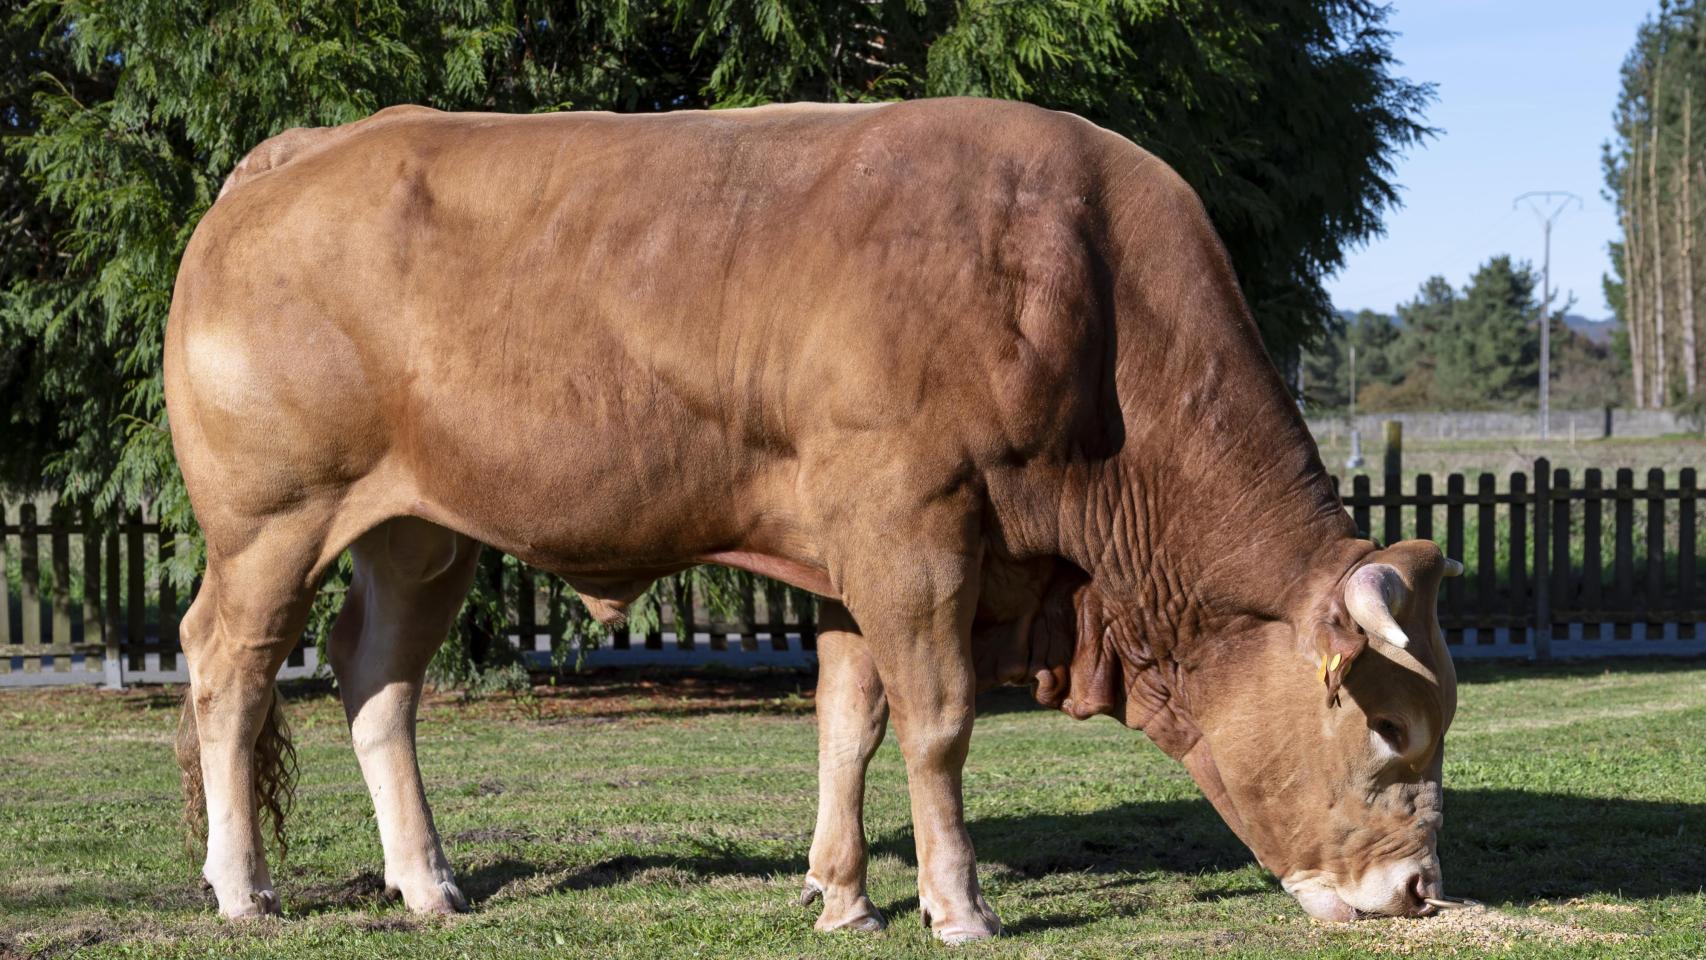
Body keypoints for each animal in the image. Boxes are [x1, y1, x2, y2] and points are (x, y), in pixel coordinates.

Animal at [164, 97, 1463, 942]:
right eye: (1390, 725)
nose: (1416, 891)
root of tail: (295, 153)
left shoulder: (856, 555)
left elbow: (851, 722)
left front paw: (841, 894)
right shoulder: (911, 528)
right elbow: (936, 724)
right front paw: (956, 903)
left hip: (417, 530)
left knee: (376, 677)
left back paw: (427, 883)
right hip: (271, 518)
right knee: (229, 668)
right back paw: (241, 889)